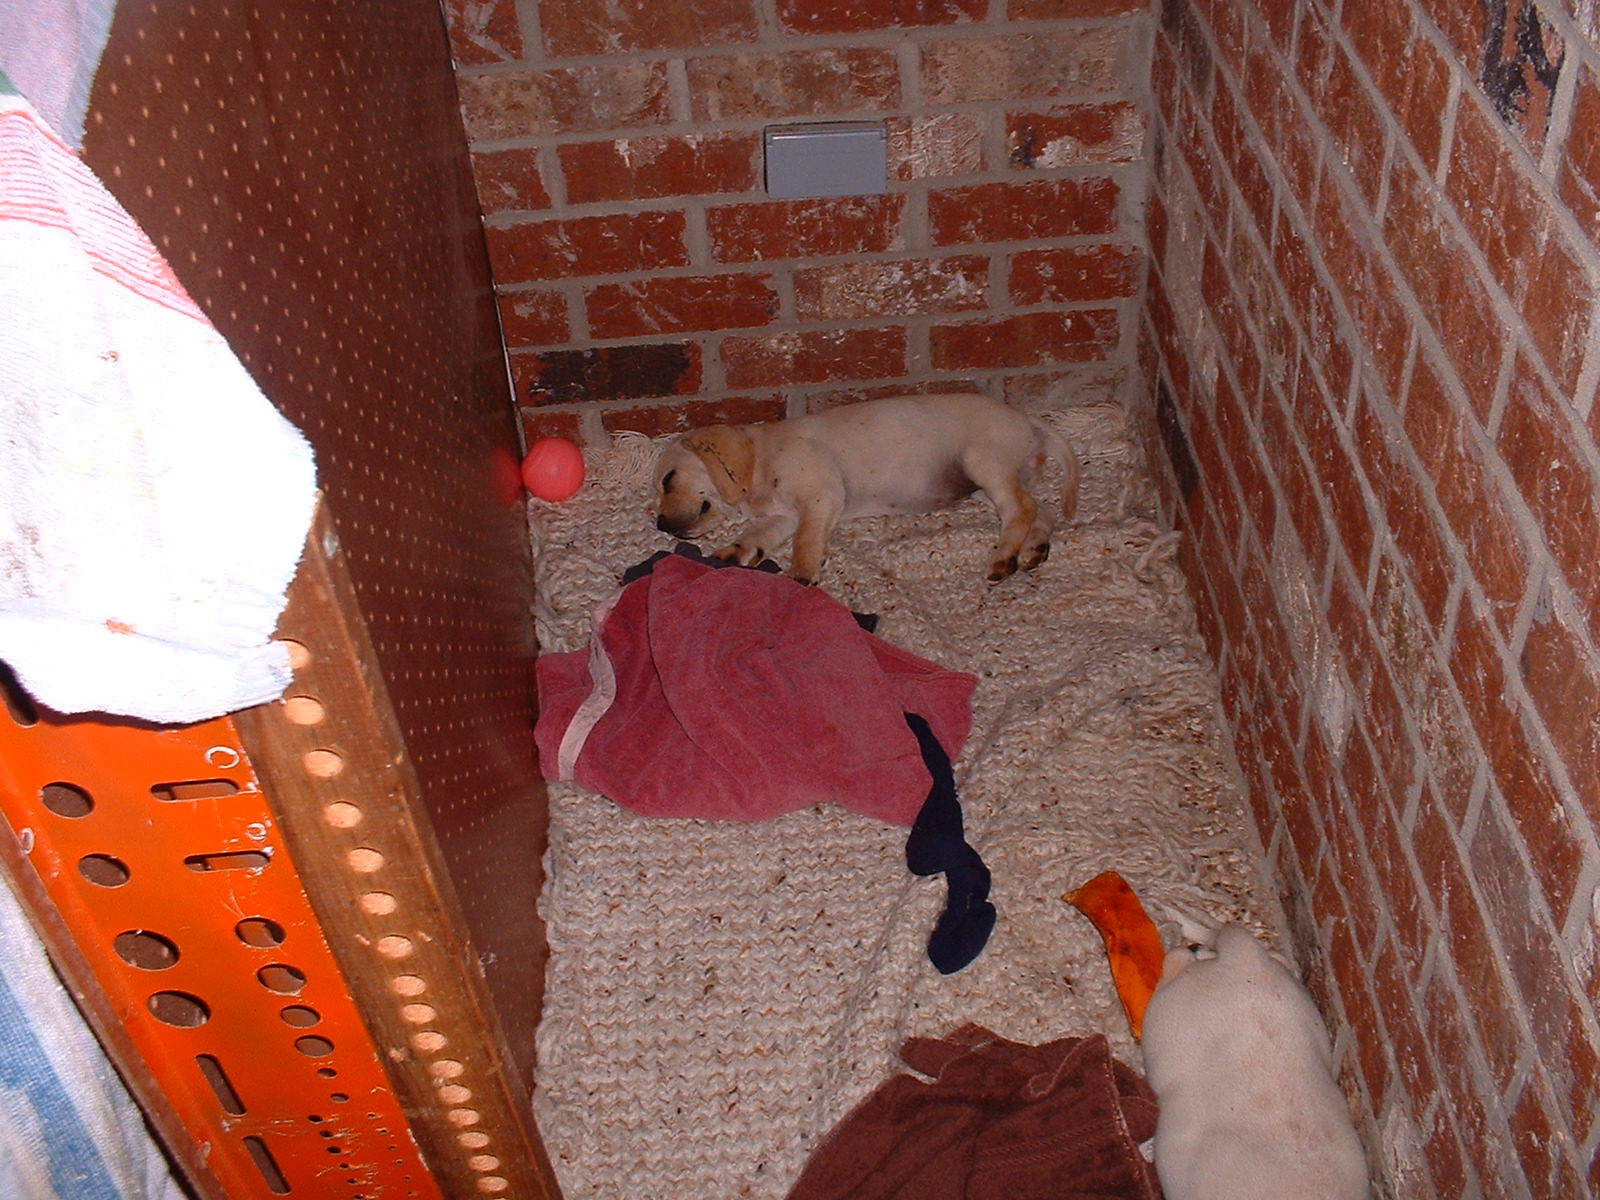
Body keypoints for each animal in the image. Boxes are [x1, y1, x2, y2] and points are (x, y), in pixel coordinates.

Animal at [651, 394, 1079, 586]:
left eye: (668, 479)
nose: (659, 524)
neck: (761, 458)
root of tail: (1029, 422)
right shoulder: (782, 516)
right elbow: (758, 535)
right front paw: (736, 552)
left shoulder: (820, 496)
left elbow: (806, 540)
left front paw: (801, 575)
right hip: (995, 481)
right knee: (1040, 511)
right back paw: (1033, 549)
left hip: (983, 463)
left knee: (1021, 509)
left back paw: (1005, 557)